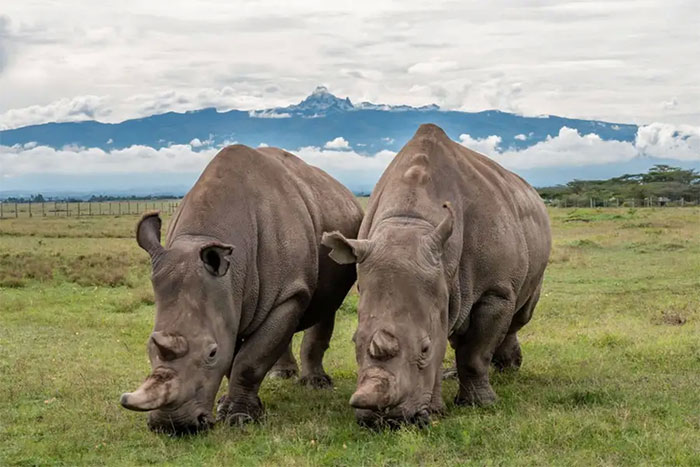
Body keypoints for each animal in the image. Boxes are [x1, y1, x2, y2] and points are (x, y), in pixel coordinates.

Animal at [120, 144, 362, 434]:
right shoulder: (227, 298)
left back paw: (316, 384)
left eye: (211, 353)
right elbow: (236, 355)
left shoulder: (288, 293)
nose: (173, 426)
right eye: (149, 347)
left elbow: (249, 359)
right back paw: (281, 376)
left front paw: (240, 418)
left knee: (326, 307)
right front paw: (228, 406)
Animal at [322, 124, 551, 426]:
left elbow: (475, 353)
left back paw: (508, 369)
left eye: (424, 349)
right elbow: (446, 334)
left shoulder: (495, 290)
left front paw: (480, 404)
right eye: (354, 342)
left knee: (520, 315)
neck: (409, 222)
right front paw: (436, 410)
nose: (384, 420)